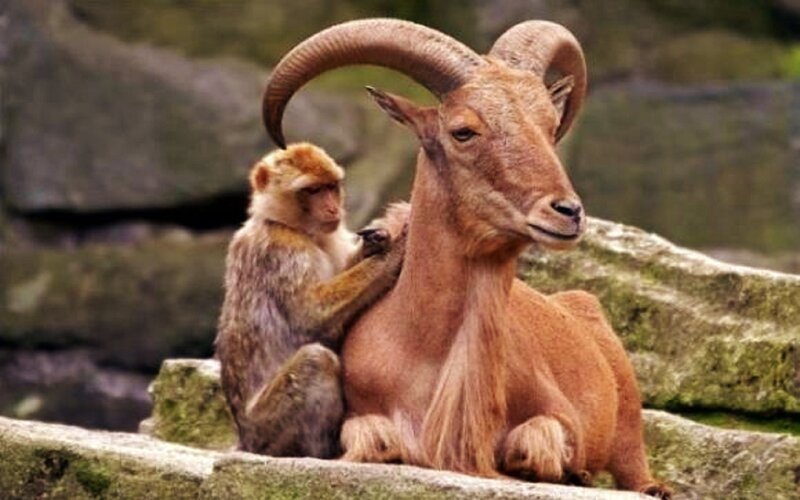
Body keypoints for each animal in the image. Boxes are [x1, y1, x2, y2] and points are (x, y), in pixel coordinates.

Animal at [214, 142, 409, 458]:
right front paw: (393, 253)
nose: (333, 208)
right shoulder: (282, 252)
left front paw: (376, 242)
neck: (294, 228)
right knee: (316, 360)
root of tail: (246, 440)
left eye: (331, 187)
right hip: (267, 429)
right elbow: (311, 318)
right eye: (313, 190)